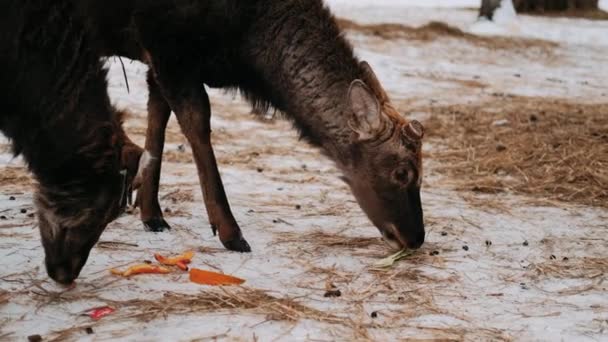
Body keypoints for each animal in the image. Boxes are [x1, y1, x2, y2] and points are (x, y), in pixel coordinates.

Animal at [78, 0, 426, 251]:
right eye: (402, 173)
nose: (415, 238)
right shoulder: (168, 48)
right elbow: (197, 124)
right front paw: (231, 233)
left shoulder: (163, 61)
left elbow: (157, 116)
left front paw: (151, 214)